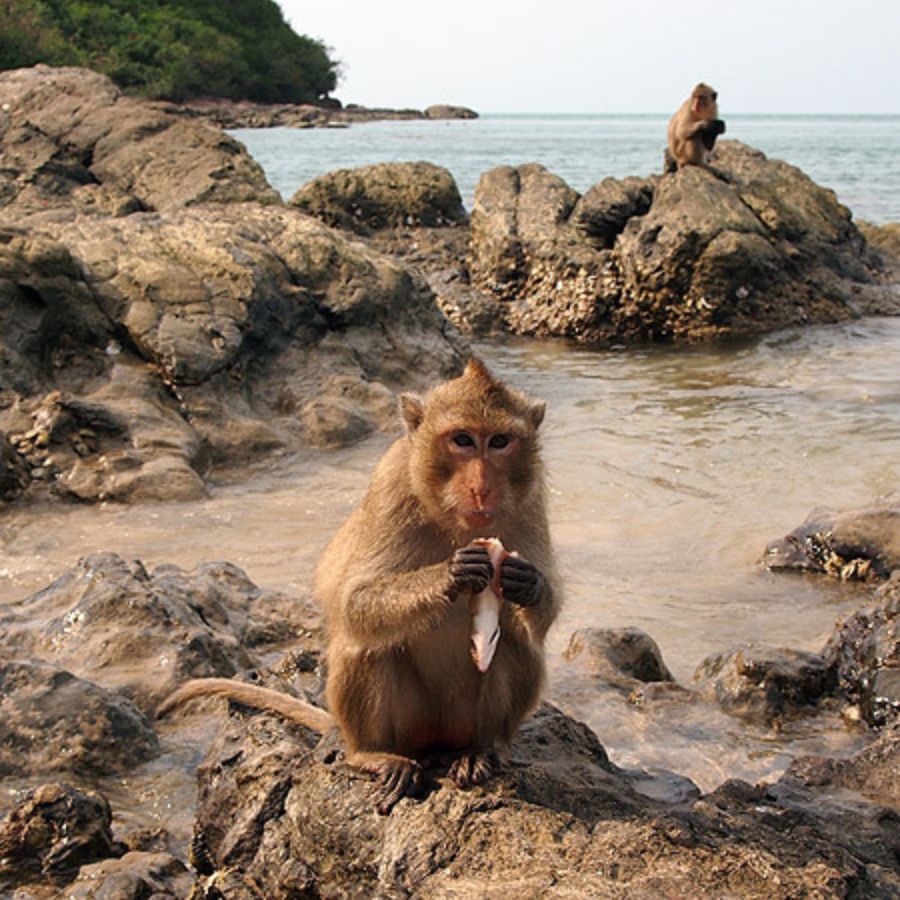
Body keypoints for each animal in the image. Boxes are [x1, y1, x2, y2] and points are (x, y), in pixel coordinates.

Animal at [158, 358, 560, 816]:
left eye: (499, 442)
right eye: (462, 440)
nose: (482, 488)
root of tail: (436, 742)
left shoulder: (531, 496)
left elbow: (541, 617)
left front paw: (527, 582)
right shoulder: (392, 483)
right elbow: (355, 603)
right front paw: (453, 573)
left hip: (460, 723)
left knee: (516, 641)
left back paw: (485, 749)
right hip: (408, 726)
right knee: (363, 643)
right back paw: (372, 755)